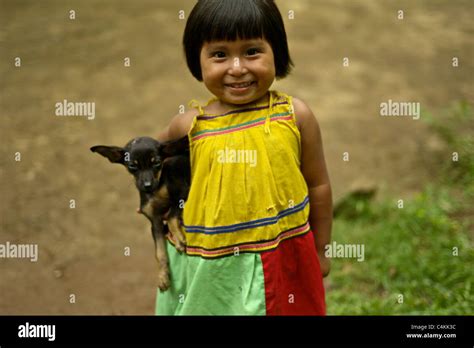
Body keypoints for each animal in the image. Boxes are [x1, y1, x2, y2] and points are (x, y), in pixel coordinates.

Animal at [90, 136, 191, 290]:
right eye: (132, 166)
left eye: (157, 163)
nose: (147, 185)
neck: (156, 189)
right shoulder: (155, 222)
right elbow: (159, 253)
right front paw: (162, 275)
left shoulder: (183, 193)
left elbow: (171, 215)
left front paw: (179, 238)